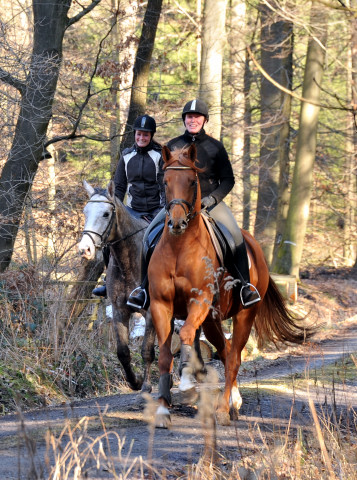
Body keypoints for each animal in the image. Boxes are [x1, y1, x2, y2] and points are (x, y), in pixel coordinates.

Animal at [147, 145, 312, 428]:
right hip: (213, 320)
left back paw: (225, 408)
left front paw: (188, 384)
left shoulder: (200, 301)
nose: (177, 223)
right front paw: (162, 410)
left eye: (192, 181)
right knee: (225, 351)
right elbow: (165, 355)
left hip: (244, 314)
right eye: (165, 181)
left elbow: (187, 335)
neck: (179, 247)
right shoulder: (161, 305)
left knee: (234, 356)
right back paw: (233, 401)